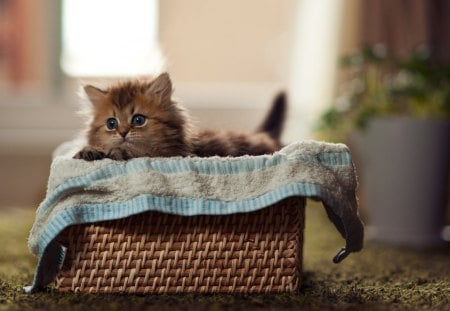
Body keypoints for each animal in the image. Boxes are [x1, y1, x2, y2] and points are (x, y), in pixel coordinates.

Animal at [73, 73, 284, 161]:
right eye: (111, 123)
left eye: (138, 120)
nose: (123, 132)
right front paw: (90, 150)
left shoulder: (173, 154)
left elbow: (143, 152)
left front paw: (120, 151)